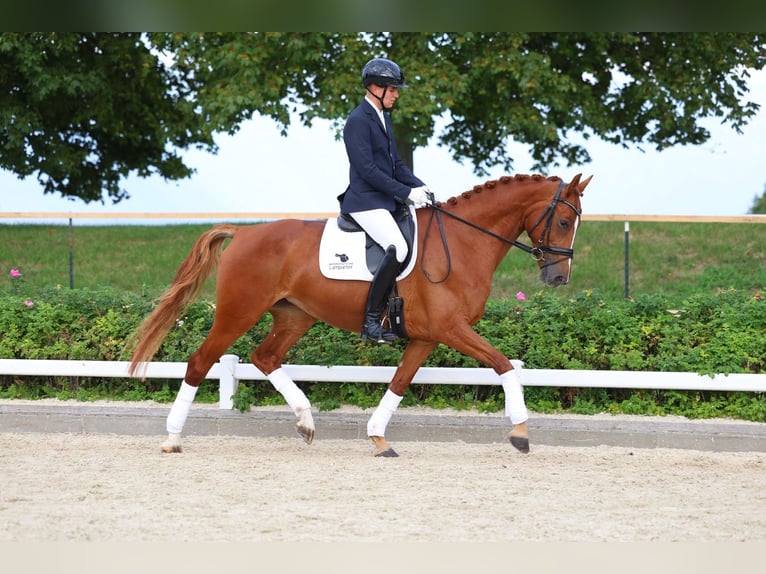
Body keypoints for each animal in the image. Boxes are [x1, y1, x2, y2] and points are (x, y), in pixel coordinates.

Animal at [128, 173, 591, 456]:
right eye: (563, 221)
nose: (559, 277)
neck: (464, 242)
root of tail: (243, 232)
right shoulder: (451, 328)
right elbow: (504, 366)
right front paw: (520, 433)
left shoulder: (428, 336)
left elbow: (400, 383)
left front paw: (378, 438)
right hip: (239, 311)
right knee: (200, 362)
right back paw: (172, 439)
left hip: (295, 316)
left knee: (265, 357)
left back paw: (306, 422)